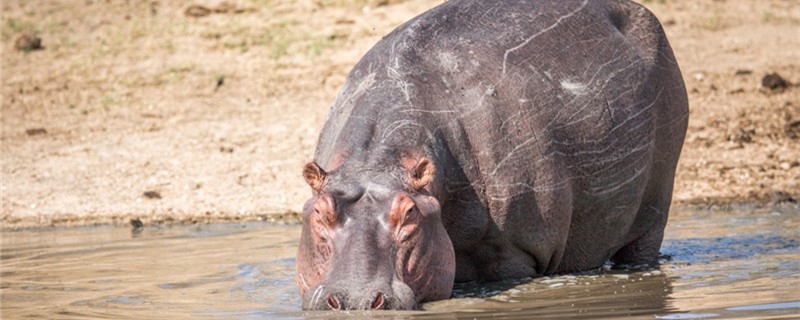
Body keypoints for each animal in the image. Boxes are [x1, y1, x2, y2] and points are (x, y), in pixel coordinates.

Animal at [294, 0, 688, 310]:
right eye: (319, 212)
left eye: (409, 213)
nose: (355, 300)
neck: (373, 166)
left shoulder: (513, 253)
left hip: (656, 205)